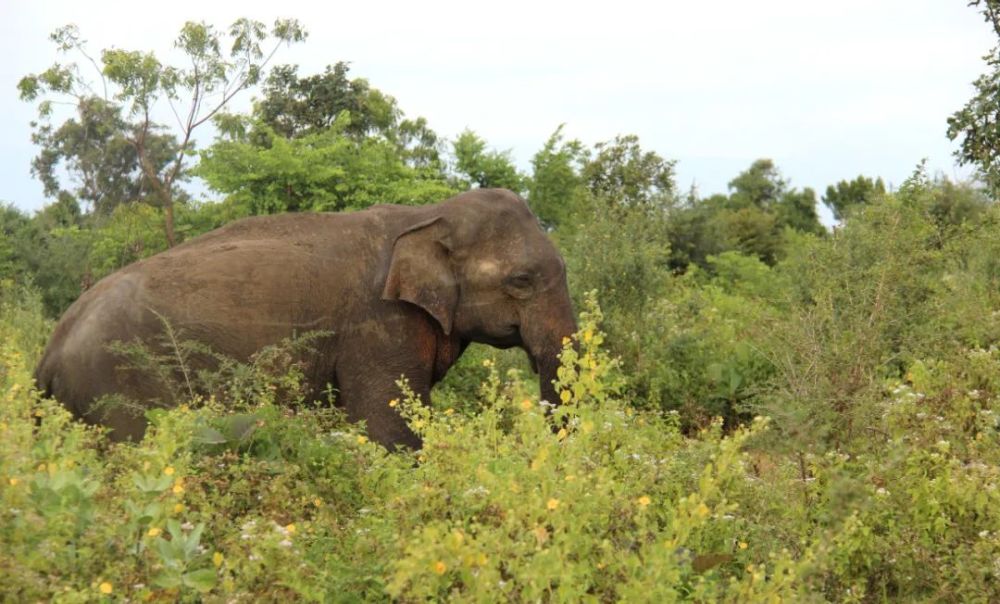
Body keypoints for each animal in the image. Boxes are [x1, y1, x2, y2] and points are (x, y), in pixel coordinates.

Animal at [33, 189, 580, 448]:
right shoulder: (377, 322)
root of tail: (50, 349)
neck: (427, 213)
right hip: (118, 382)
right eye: (521, 281)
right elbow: (389, 427)